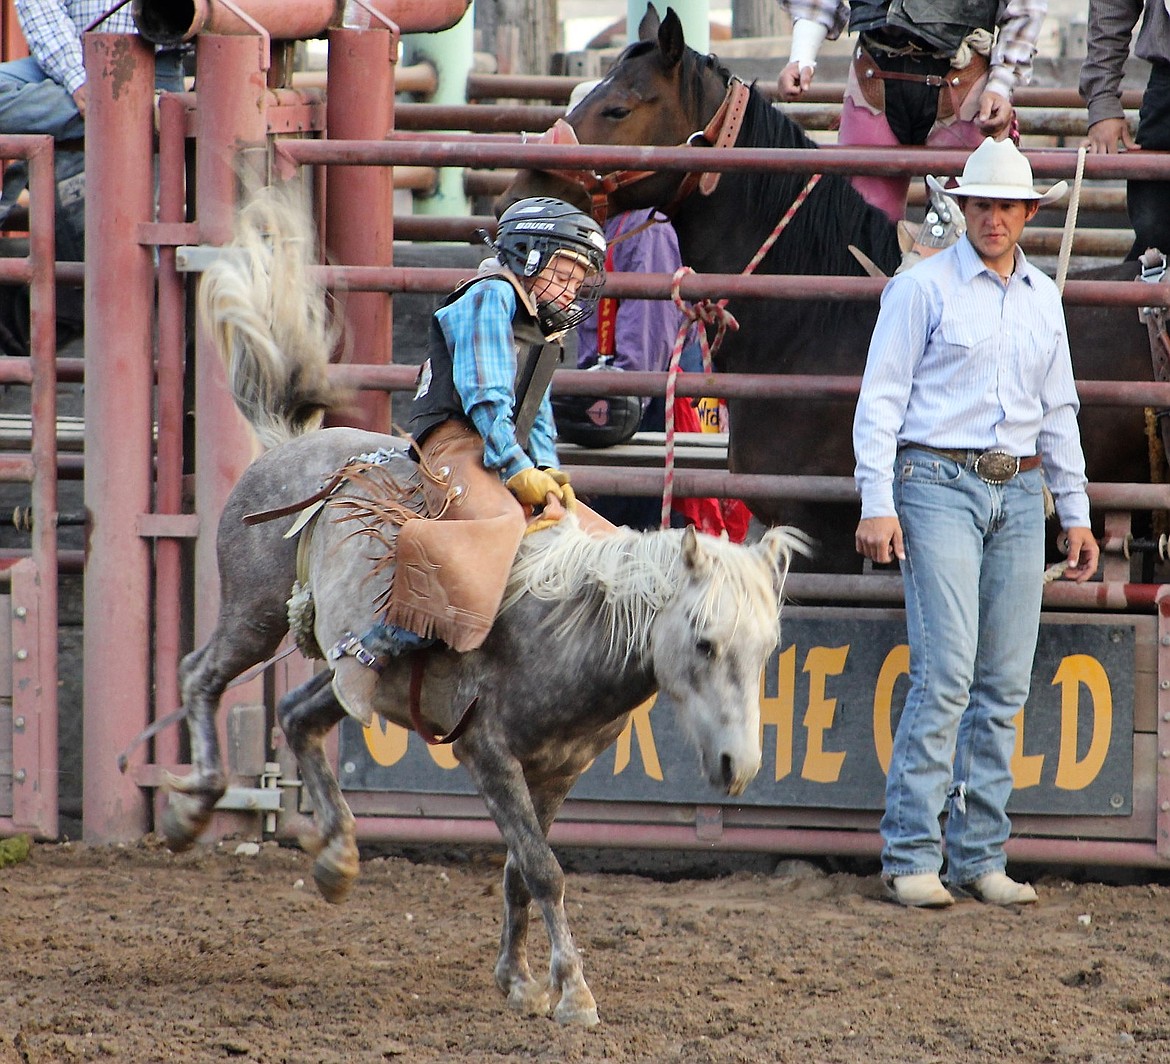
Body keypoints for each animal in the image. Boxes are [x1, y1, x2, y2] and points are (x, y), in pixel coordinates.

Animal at [169, 187, 809, 1025]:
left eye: (767, 651)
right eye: (703, 642)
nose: (740, 767)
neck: (572, 630)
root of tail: (284, 445)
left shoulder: (560, 770)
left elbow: (518, 870)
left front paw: (520, 979)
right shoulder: (488, 751)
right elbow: (542, 868)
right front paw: (573, 993)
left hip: (341, 671)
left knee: (299, 713)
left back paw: (337, 857)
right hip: (252, 613)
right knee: (201, 676)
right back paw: (193, 809)